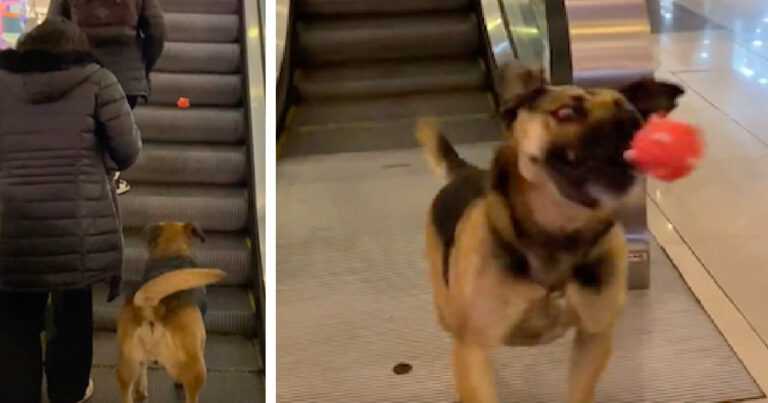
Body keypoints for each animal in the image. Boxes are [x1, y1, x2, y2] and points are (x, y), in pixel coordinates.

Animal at [416, 66, 680, 403]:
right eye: (566, 112)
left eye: (635, 119)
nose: (629, 129)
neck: (558, 234)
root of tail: (466, 171)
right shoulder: (473, 346)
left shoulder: (593, 338)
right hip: (448, 311)